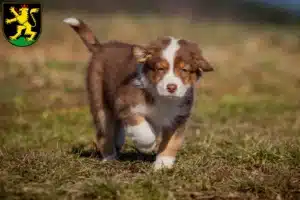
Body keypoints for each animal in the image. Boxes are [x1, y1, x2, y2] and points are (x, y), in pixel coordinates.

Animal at [63, 16, 213, 170]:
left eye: (184, 70)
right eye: (160, 69)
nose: (171, 87)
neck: (163, 98)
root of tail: (100, 47)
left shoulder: (179, 117)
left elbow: (172, 142)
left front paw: (163, 164)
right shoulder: (126, 104)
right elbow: (143, 130)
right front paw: (147, 146)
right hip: (99, 99)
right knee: (104, 132)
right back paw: (110, 158)